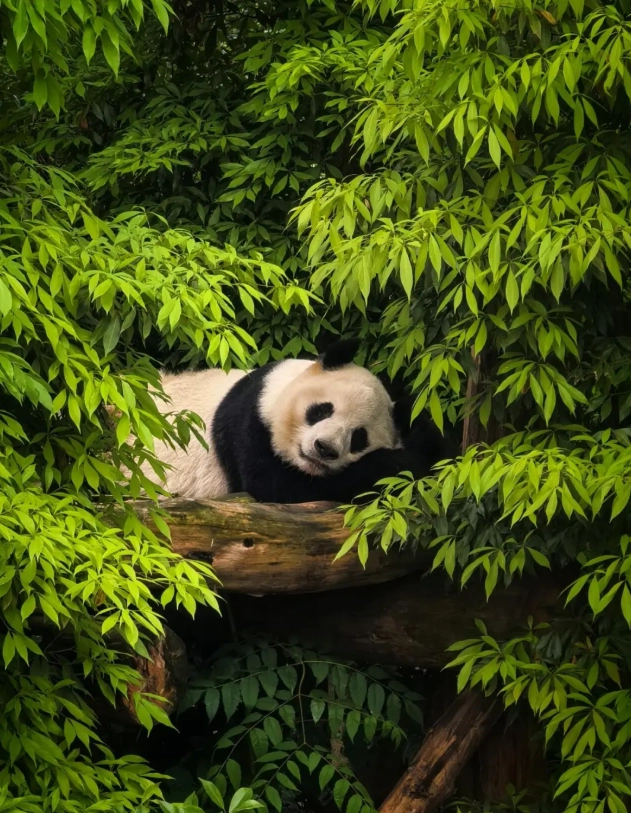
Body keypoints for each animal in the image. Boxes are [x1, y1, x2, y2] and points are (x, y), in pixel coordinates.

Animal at [141, 339, 446, 504]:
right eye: (322, 410)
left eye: (359, 437)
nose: (324, 448)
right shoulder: (249, 422)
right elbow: (283, 488)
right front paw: (400, 463)